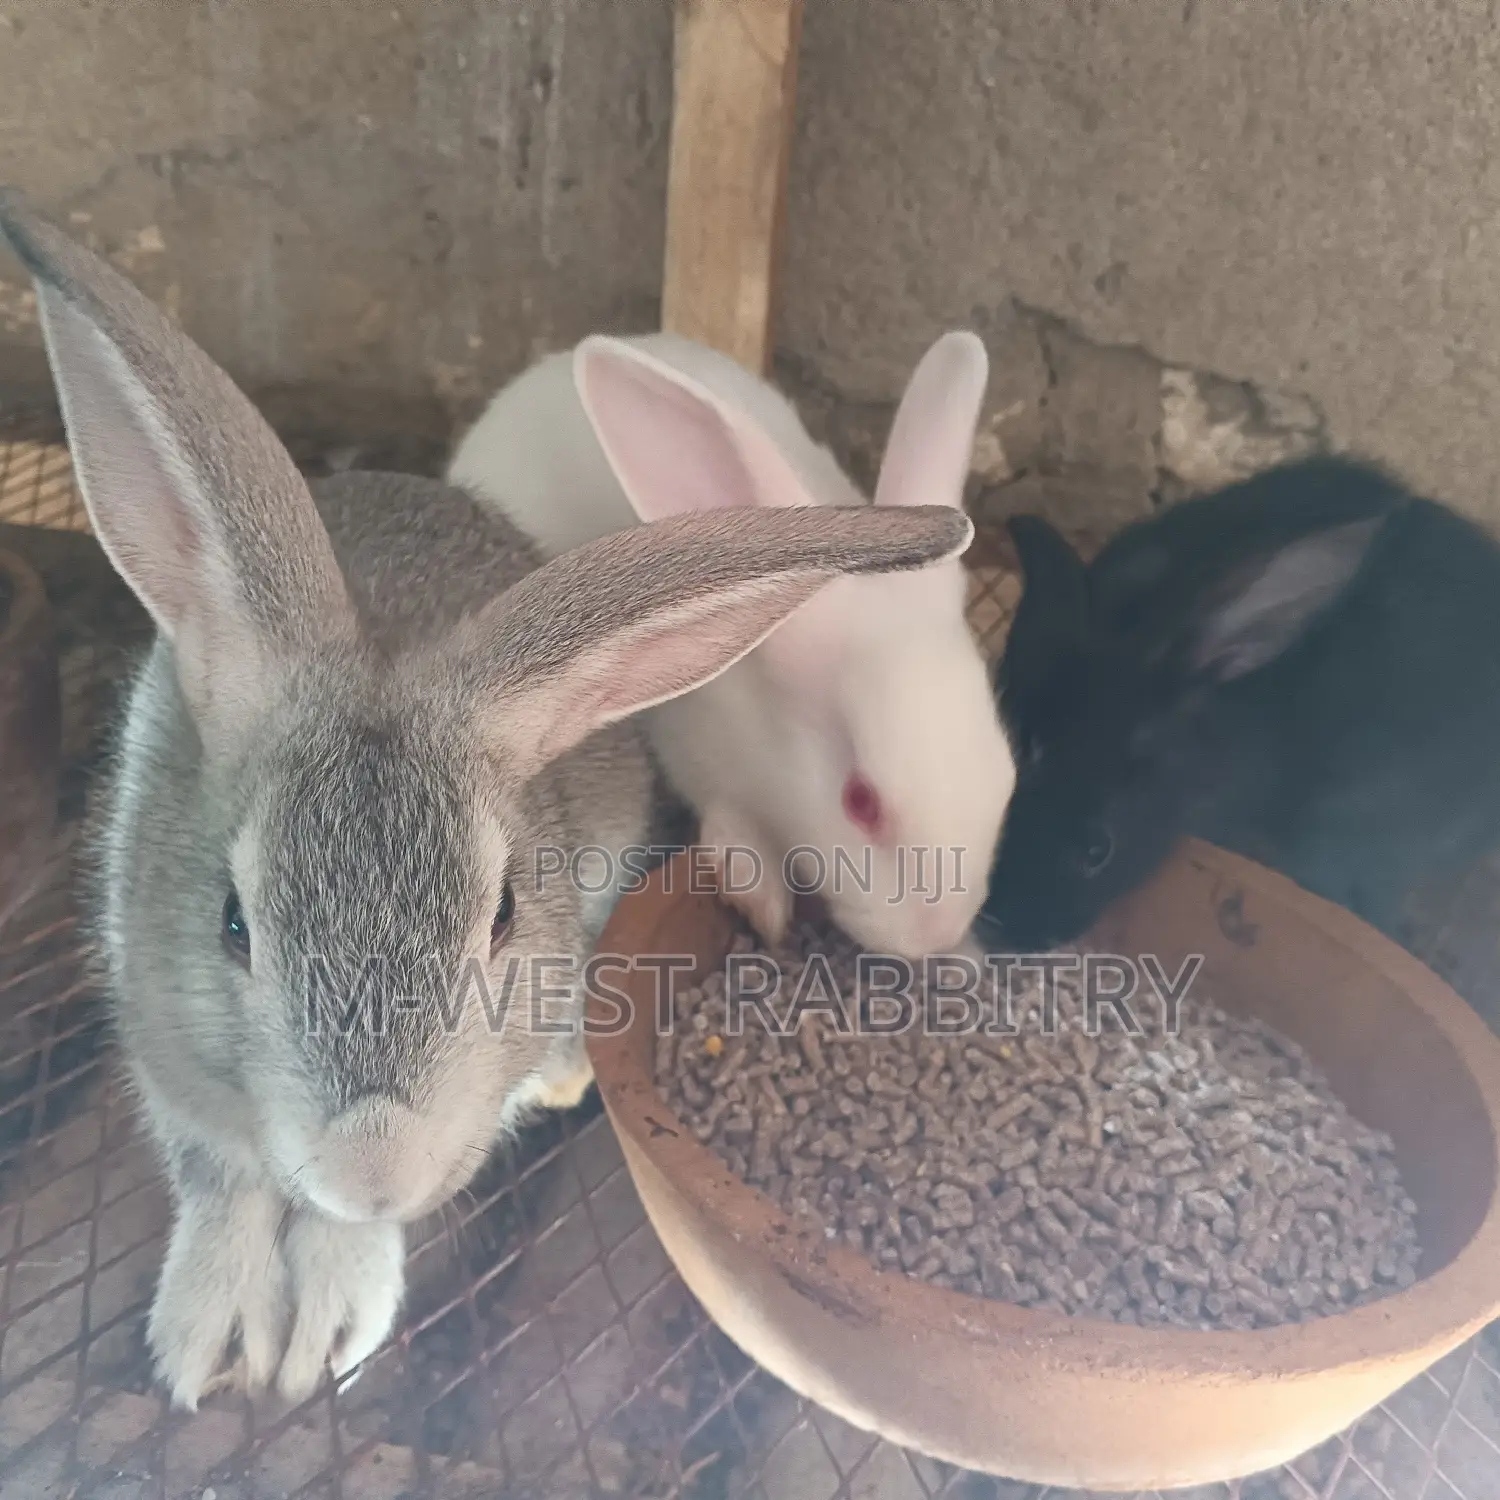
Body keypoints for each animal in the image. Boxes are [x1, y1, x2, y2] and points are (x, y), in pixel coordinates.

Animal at [447, 328, 1016, 959]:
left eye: (1006, 768)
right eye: (860, 802)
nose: (933, 937)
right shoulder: (691, 740)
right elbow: (727, 820)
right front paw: (762, 901)